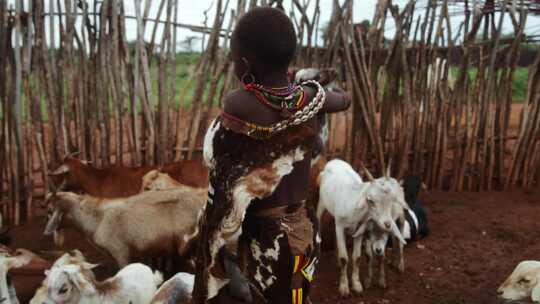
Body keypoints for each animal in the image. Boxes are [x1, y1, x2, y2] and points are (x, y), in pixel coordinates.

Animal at [316, 160, 404, 298]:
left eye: (391, 199)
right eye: (370, 200)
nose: (387, 224)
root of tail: (334, 161)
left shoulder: (359, 229)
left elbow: (356, 257)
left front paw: (357, 285)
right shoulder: (340, 225)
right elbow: (344, 258)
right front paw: (344, 288)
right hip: (322, 203)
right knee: (318, 219)